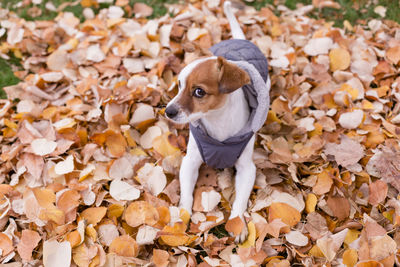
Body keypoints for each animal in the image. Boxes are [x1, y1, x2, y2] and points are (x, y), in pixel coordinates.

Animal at [164, 0, 270, 243]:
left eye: (199, 92)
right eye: (179, 84)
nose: (168, 111)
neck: (217, 122)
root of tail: (239, 39)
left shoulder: (247, 168)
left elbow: (240, 200)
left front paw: (238, 224)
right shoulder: (190, 162)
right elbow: (186, 195)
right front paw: (182, 218)